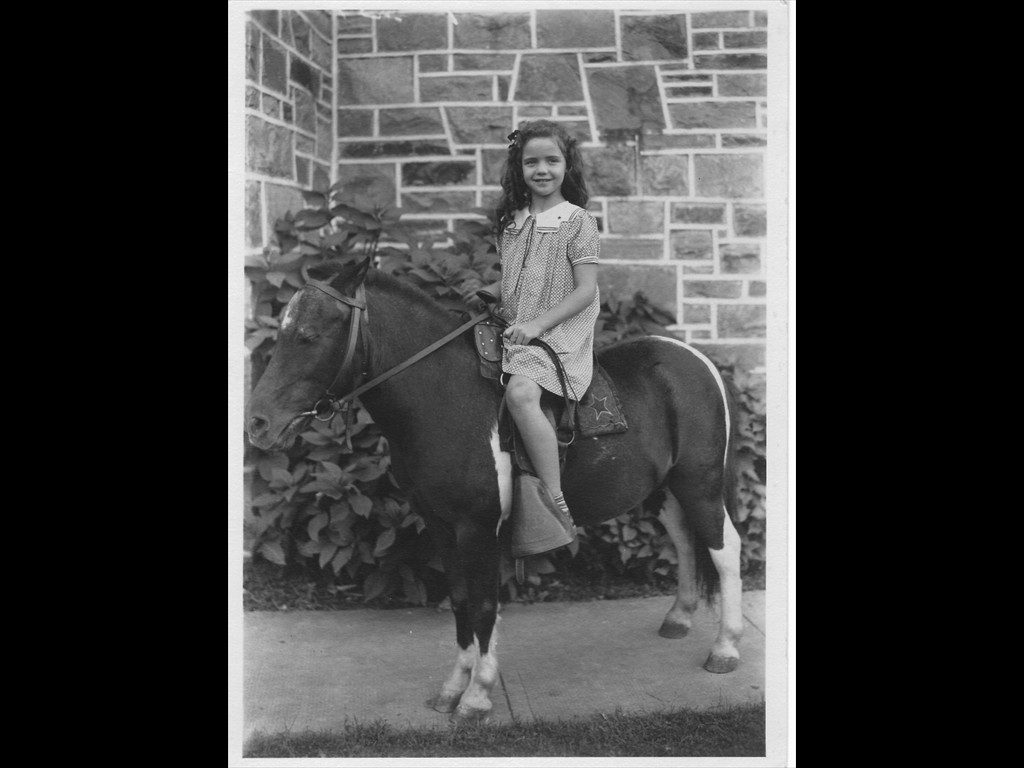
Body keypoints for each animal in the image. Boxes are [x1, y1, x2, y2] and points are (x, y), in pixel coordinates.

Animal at [245, 259, 745, 723]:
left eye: (308, 336)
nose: (258, 424)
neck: (443, 397)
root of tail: (699, 361)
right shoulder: (441, 525)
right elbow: (461, 602)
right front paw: (453, 687)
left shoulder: (478, 527)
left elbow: (484, 605)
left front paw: (477, 696)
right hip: (667, 490)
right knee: (686, 542)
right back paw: (678, 618)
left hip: (700, 483)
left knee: (724, 550)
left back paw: (725, 649)